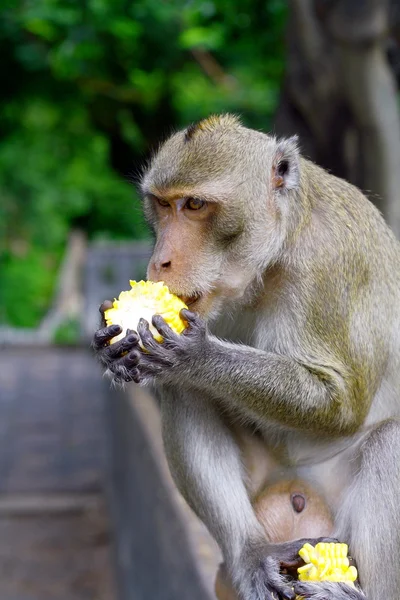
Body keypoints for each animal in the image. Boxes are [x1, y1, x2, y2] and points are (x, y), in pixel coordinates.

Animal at [93, 113, 400, 600]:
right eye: (162, 206)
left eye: (194, 205)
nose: (160, 261)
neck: (275, 255)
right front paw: (117, 355)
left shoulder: (327, 263)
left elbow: (342, 404)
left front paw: (195, 357)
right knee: (185, 393)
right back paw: (251, 553)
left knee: (390, 443)